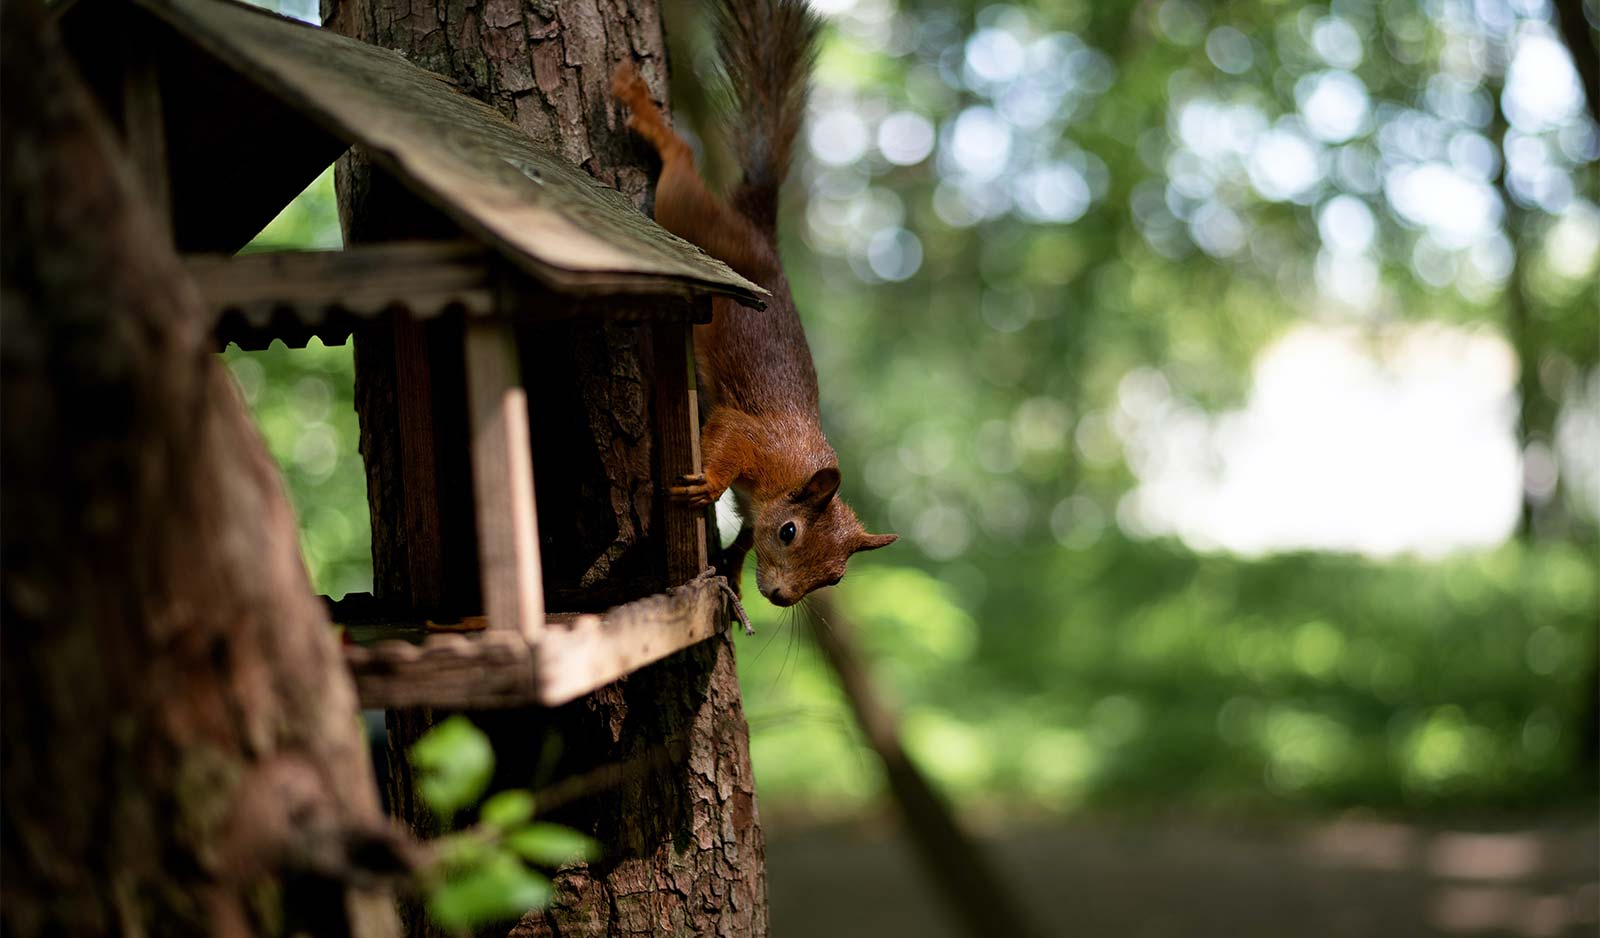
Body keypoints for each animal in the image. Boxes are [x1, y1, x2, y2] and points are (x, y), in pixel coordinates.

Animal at [611, 0, 896, 605]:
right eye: (789, 532)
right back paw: (645, 112)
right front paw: (706, 487)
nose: (783, 597)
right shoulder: (754, 437)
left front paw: (734, 570)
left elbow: (743, 536)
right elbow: (727, 438)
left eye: (836, 575)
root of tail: (762, 231)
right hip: (695, 217)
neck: (789, 478)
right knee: (681, 165)